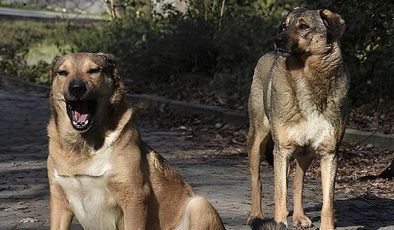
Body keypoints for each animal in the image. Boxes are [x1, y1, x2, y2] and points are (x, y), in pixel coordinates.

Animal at [47, 52, 225, 230]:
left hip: (199, 205)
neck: (83, 146)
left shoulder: (134, 196)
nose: (76, 88)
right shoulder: (59, 200)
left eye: (93, 70)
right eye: (63, 72)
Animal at [248, 8, 350, 229]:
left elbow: (328, 203)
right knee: (257, 180)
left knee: (297, 182)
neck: (307, 79)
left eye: (303, 26)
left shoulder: (329, 153)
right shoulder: (282, 150)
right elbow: (279, 197)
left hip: (305, 153)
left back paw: (299, 216)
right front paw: (278, 222)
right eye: (284, 25)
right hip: (258, 141)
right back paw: (256, 215)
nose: (277, 40)